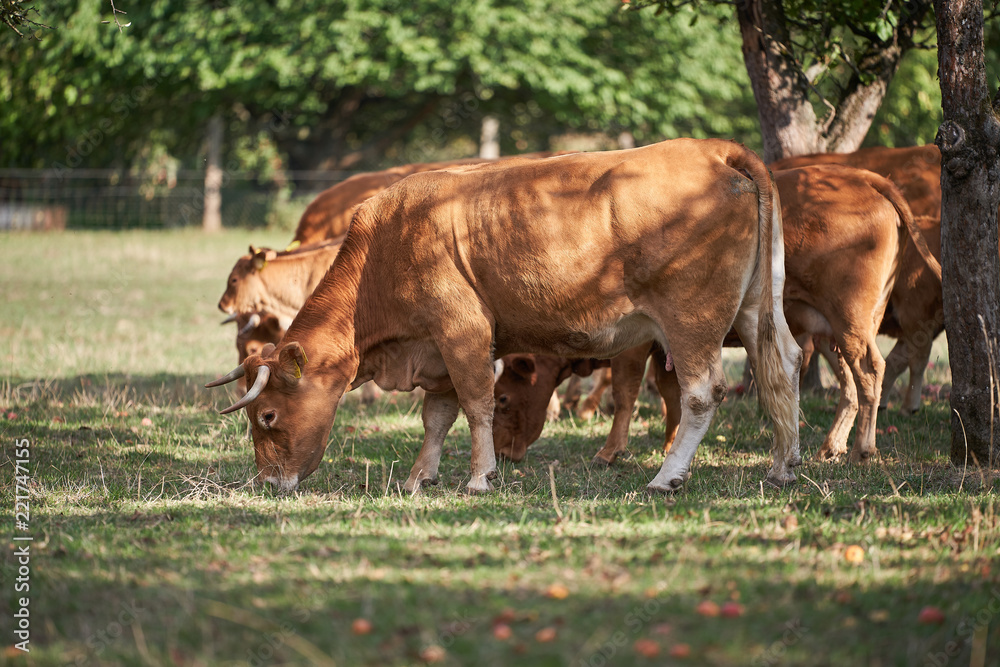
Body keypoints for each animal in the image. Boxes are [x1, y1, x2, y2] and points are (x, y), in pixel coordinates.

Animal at [206, 138, 802, 495]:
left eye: (267, 417)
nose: (267, 481)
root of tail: (715, 150)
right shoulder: (435, 347)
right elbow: (437, 416)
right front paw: (420, 477)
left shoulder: (462, 331)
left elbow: (475, 405)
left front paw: (479, 477)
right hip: (756, 311)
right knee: (782, 367)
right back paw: (783, 464)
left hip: (690, 321)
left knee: (701, 394)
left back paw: (667, 475)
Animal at [493, 164, 941, 465]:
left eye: (502, 398)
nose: (502, 454)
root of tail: (862, 175)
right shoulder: (667, 344)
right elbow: (671, 392)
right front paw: (670, 444)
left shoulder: (635, 342)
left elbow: (625, 393)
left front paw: (610, 450)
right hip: (831, 328)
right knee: (851, 383)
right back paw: (832, 445)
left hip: (852, 319)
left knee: (872, 371)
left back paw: (863, 448)